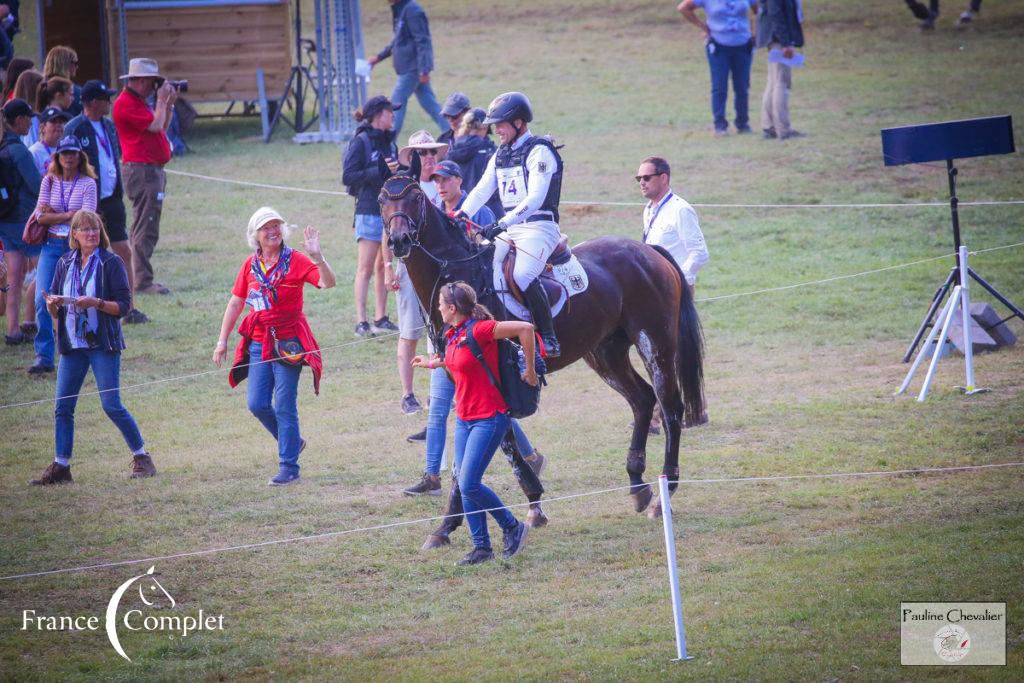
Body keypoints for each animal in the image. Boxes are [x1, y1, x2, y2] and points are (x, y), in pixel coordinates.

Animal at [376, 172, 704, 532]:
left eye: (416, 198)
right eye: (381, 199)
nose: (399, 240)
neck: (460, 277)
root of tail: (647, 250)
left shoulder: (495, 381)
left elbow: (503, 444)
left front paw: (533, 503)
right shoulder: (461, 379)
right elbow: (472, 452)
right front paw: (452, 520)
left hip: (654, 343)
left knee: (669, 407)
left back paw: (663, 495)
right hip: (605, 353)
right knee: (642, 400)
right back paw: (637, 484)